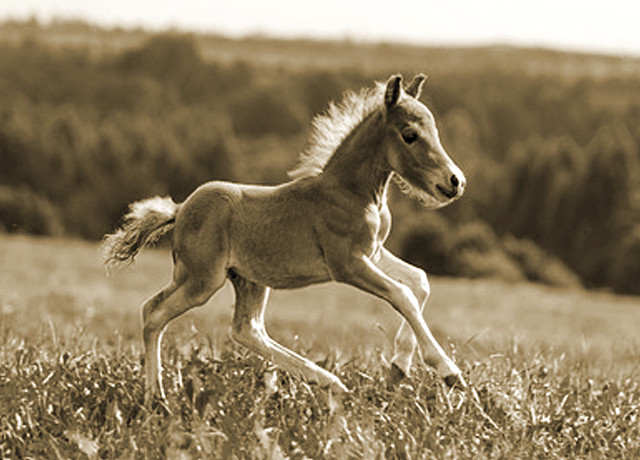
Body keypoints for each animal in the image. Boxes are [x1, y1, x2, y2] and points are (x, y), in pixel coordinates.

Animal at [104, 73, 464, 402]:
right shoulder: (347, 263)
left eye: (435, 132)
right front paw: (448, 372)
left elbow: (419, 281)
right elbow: (402, 294)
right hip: (203, 279)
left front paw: (398, 367)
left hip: (246, 279)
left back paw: (329, 382)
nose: (455, 181)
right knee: (155, 314)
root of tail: (179, 210)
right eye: (410, 135)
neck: (353, 192)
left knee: (244, 329)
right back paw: (156, 397)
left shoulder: (373, 252)